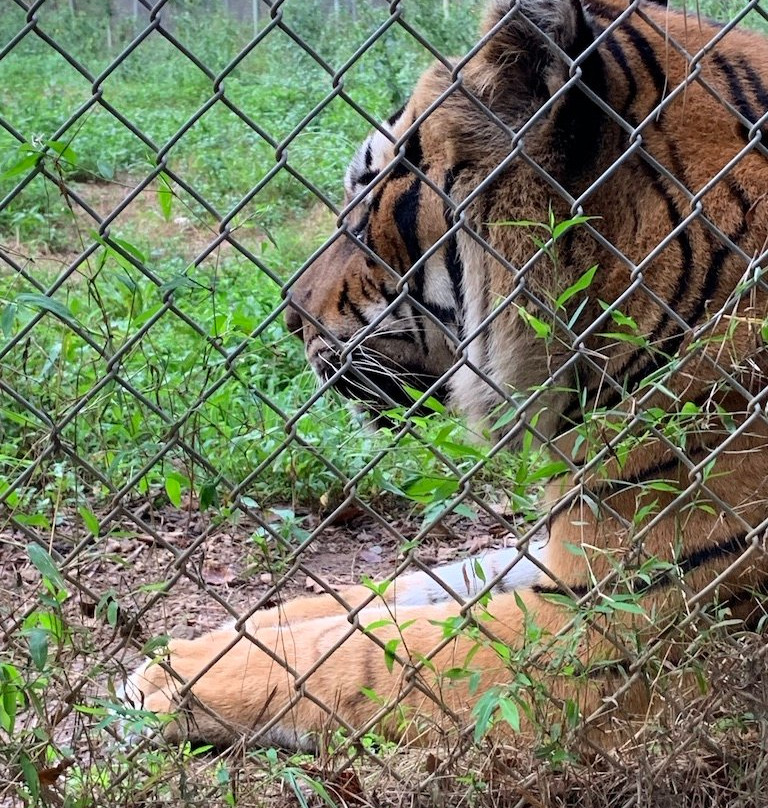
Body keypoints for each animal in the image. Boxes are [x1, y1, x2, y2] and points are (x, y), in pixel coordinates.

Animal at [124, 0, 768, 752]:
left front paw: (172, 676)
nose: (286, 318)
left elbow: (365, 654)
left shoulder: (602, 630)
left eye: (366, 195)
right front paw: (215, 635)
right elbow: (394, 591)